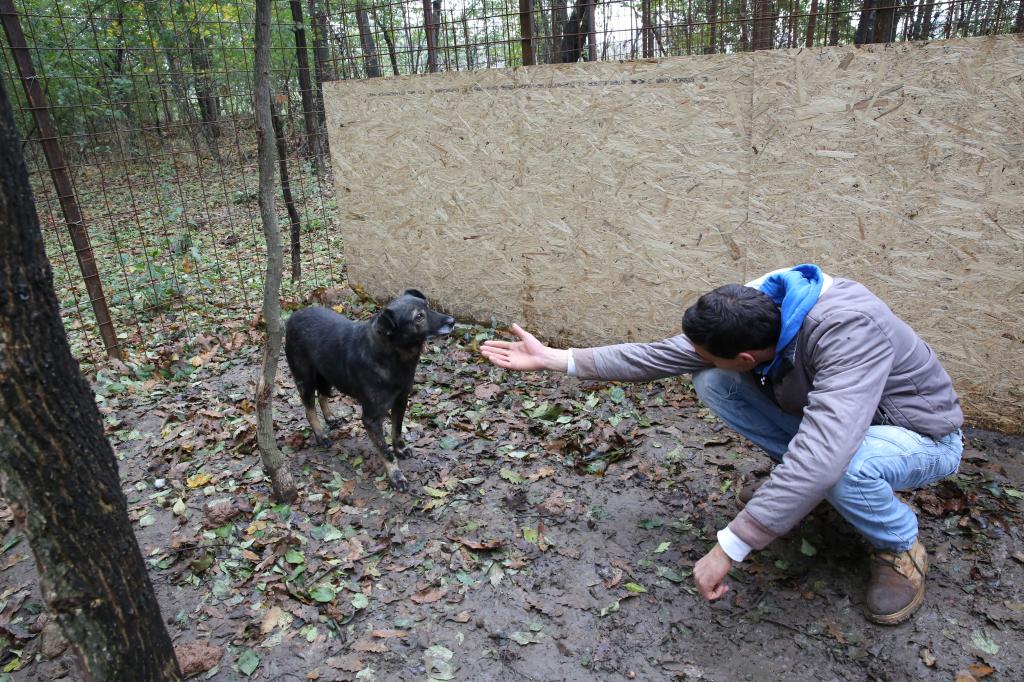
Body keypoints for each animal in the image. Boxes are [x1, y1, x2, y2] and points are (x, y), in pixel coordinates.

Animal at [282, 286, 454, 489]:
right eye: (419, 316)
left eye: (428, 307)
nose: (452, 321)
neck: (392, 357)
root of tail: (294, 316)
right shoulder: (371, 419)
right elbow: (385, 451)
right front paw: (396, 476)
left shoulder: (401, 401)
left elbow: (397, 431)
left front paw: (400, 449)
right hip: (305, 379)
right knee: (309, 409)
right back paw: (321, 435)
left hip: (328, 373)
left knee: (323, 395)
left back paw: (330, 417)